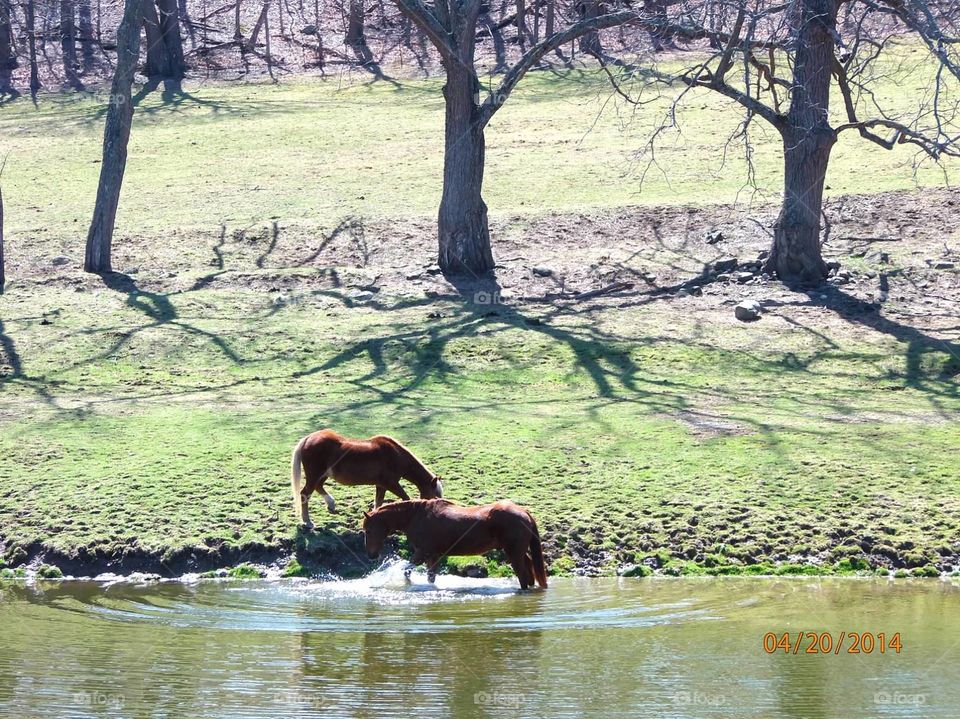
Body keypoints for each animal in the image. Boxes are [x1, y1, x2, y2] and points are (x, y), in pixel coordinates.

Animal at [290, 434, 444, 528]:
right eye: (434, 497)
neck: (395, 455)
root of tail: (308, 438)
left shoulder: (381, 485)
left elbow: (379, 502)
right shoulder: (391, 484)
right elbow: (406, 498)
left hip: (322, 475)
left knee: (318, 487)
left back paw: (331, 504)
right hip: (314, 475)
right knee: (305, 493)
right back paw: (308, 522)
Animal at [362, 498, 548, 592]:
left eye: (368, 530)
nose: (371, 555)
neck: (416, 516)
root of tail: (524, 513)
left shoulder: (422, 553)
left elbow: (406, 570)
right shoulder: (433, 556)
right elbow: (430, 577)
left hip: (513, 553)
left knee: (523, 576)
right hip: (518, 552)